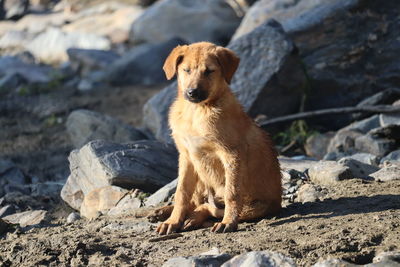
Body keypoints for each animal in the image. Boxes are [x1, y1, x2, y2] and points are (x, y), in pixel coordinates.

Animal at [155, 41, 282, 234]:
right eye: (186, 70)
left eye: (209, 71)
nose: (192, 92)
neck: (197, 111)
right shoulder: (186, 156)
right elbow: (181, 192)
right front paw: (173, 221)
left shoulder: (231, 154)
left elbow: (232, 193)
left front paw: (228, 222)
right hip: (200, 175)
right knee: (196, 201)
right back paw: (165, 212)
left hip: (255, 207)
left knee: (209, 207)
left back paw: (195, 218)